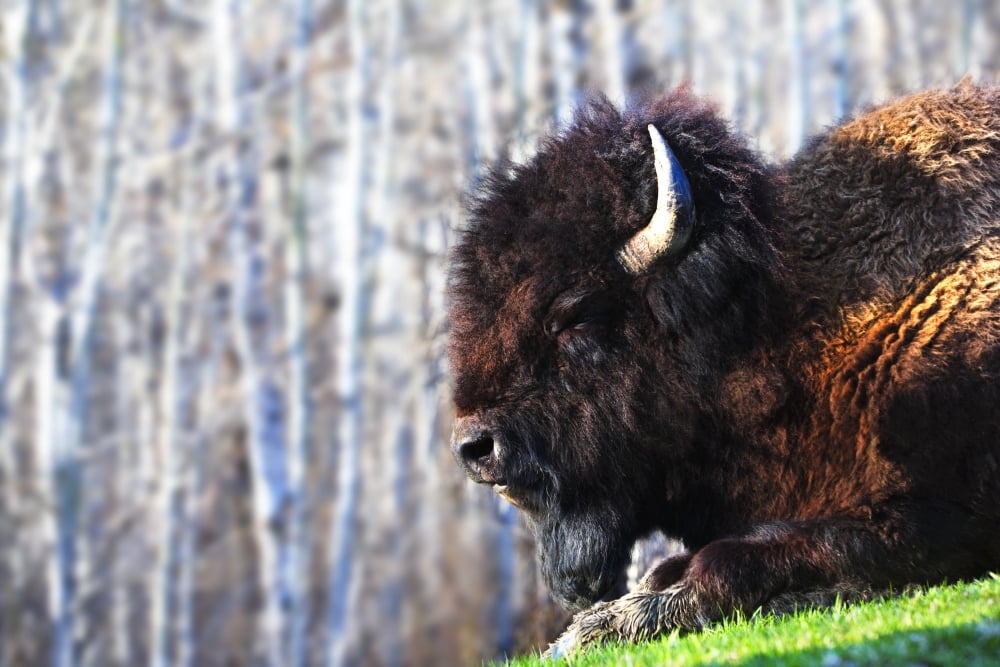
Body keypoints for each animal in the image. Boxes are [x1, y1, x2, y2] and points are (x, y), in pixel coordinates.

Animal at [446, 81, 1000, 655]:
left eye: (575, 313)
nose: (475, 449)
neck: (778, 331)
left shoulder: (937, 511)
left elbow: (734, 561)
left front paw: (597, 629)